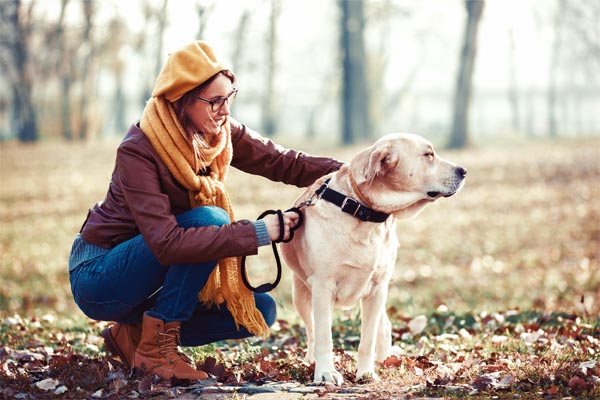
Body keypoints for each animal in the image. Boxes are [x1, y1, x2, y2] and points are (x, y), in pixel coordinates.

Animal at [282, 133, 464, 382]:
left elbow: (367, 340)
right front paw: (326, 372)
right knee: (311, 331)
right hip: (300, 295)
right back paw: (311, 360)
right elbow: (324, 337)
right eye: (429, 154)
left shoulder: (377, 288)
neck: (362, 212)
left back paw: (385, 359)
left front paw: (366, 372)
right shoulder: (322, 287)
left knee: (383, 327)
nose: (464, 171)